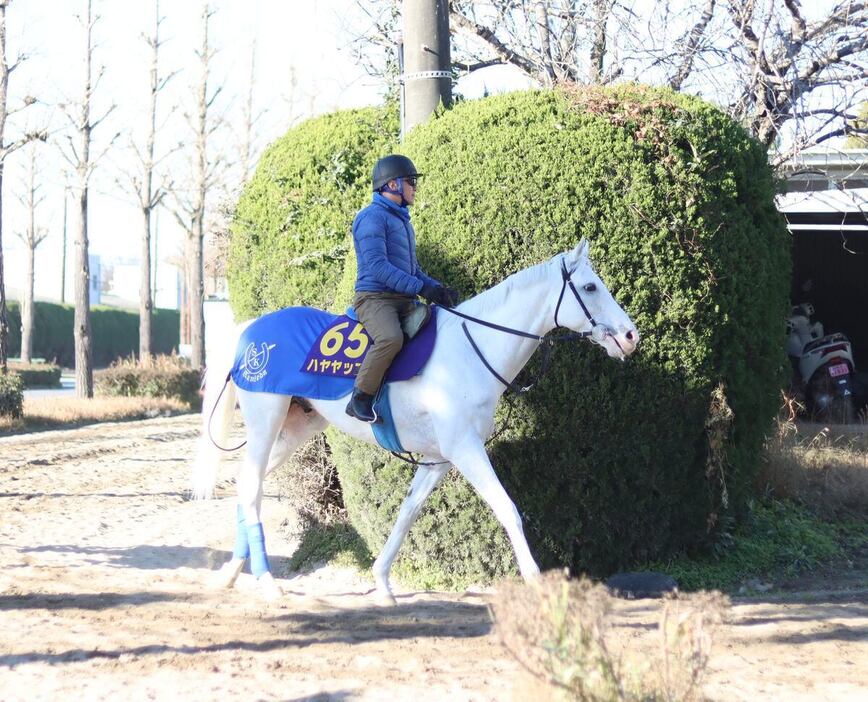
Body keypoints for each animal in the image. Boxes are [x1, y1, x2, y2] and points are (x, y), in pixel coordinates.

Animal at [193, 239, 640, 604]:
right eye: (590, 287)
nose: (631, 336)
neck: (470, 351)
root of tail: (250, 330)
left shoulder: (439, 459)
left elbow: (407, 513)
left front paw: (382, 582)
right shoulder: (466, 450)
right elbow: (508, 509)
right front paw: (536, 584)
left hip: (296, 428)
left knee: (248, 483)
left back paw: (232, 572)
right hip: (265, 422)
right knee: (251, 487)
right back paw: (267, 581)